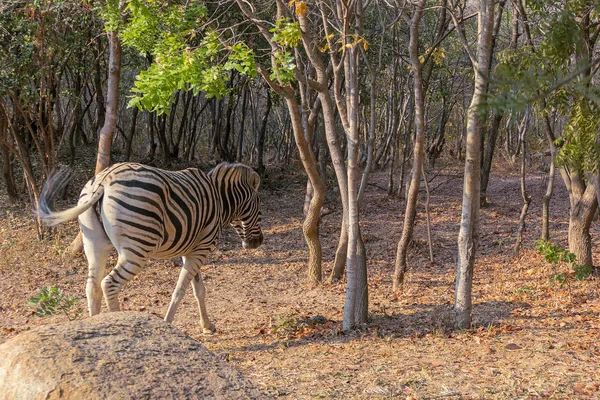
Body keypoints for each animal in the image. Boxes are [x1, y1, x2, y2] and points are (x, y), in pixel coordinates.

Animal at [37, 161, 262, 332]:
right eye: (260, 208)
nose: (258, 243)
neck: (219, 199)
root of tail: (104, 180)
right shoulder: (201, 249)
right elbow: (180, 290)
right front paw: (168, 324)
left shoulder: (191, 250)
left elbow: (198, 290)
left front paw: (207, 326)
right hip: (137, 250)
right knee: (109, 283)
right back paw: (116, 323)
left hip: (94, 244)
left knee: (92, 286)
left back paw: (95, 326)